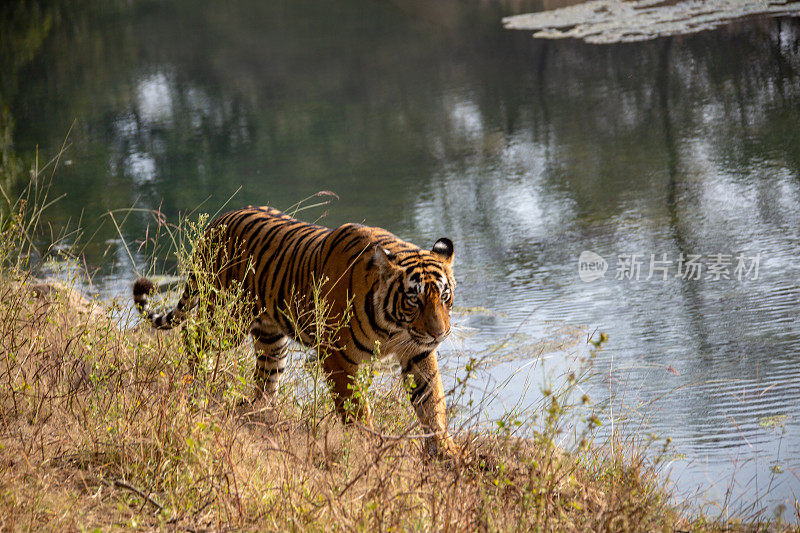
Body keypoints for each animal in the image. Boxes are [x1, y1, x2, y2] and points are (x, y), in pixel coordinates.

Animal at [134, 204, 460, 458]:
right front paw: (368, 444)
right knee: (192, 336)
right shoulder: (337, 356)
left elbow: (432, 402)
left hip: (271, 337)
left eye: (445, 297)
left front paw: (445, 449)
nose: (439, 334)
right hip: (226, 320)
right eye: (414, 299)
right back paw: (196, 383)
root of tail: (216, 222)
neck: (393, 328)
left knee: (265, 378)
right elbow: (355, 408)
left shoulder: (417, 352)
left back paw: (260, 415)